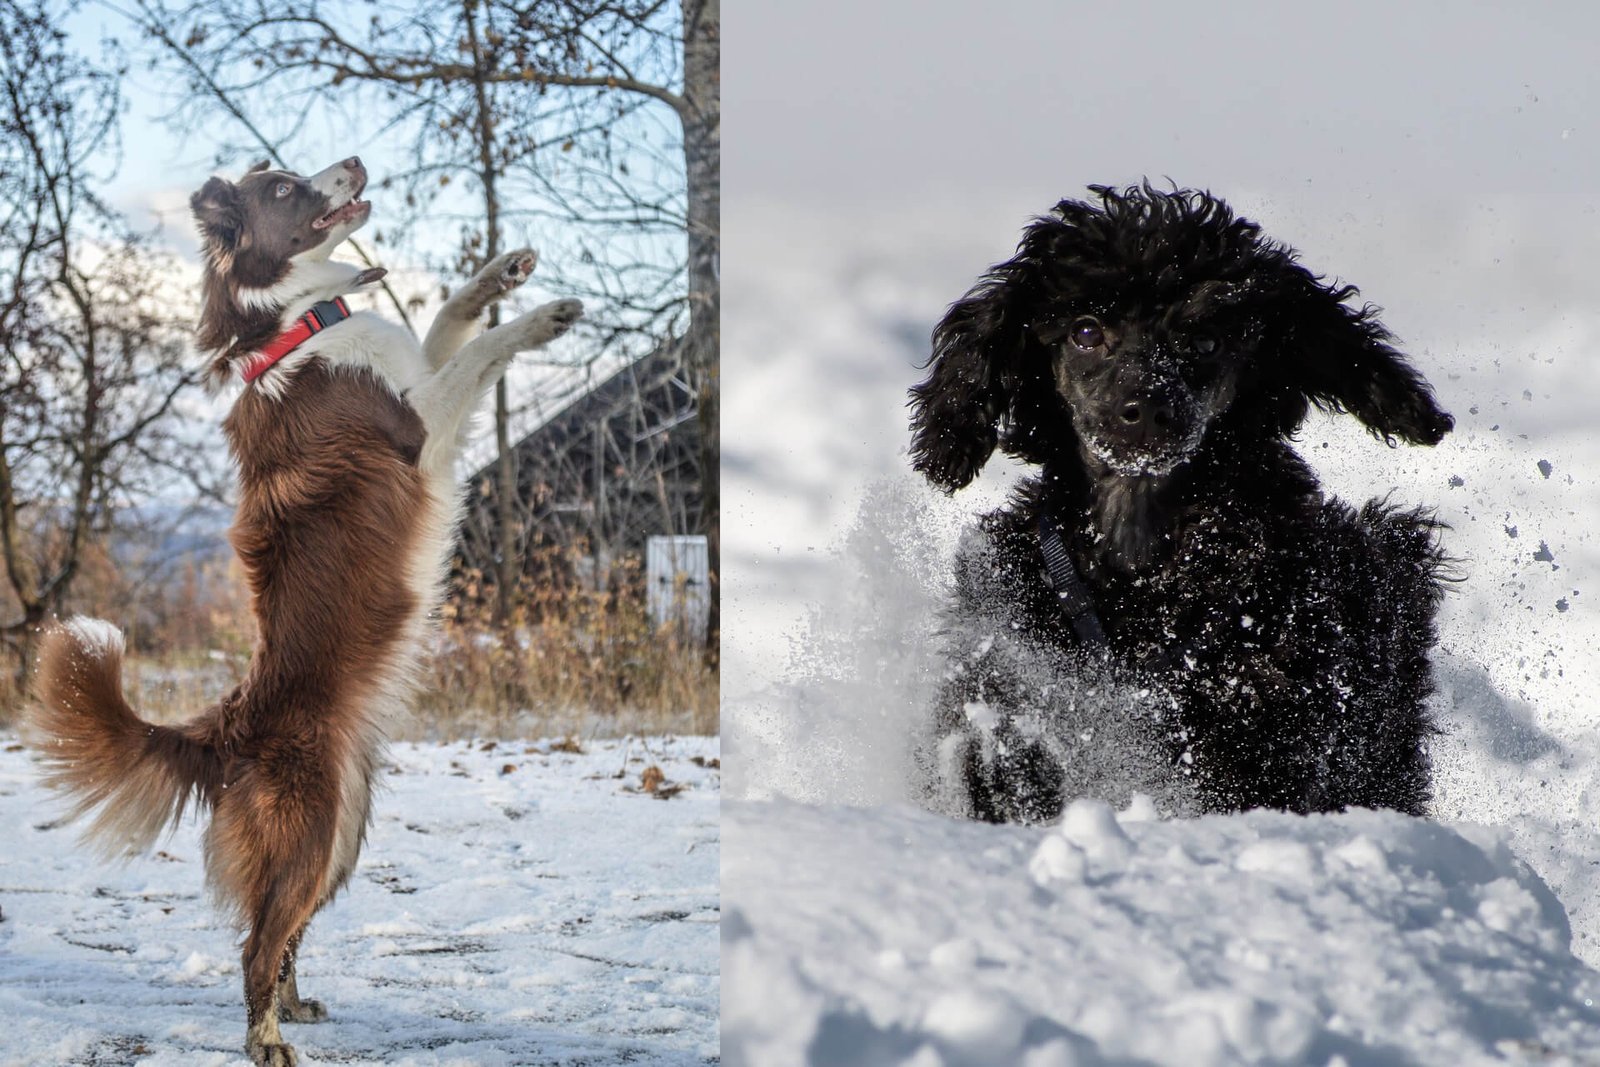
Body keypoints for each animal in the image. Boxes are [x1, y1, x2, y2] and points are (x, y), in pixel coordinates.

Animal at [25, 156, 585, 1067]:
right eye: (283, 189)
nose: (353, 164)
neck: (301, 326)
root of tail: (227, 728)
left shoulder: (419, 377)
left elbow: (446, 320)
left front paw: (499, 275)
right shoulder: (423, 430)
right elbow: (477, 354)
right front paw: (541, 317)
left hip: (340, 840)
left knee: (280, 931)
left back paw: (294, 1003)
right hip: (313, 830)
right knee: (255, 942)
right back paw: (266, 1036)